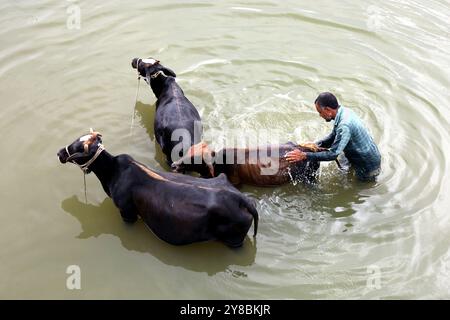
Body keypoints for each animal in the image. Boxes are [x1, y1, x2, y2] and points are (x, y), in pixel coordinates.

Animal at [58, 130, 258, 248]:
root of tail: (243, 199)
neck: (112, 172)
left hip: (234, 240)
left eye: (77, 148)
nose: (59, 152)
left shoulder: (127, 213)